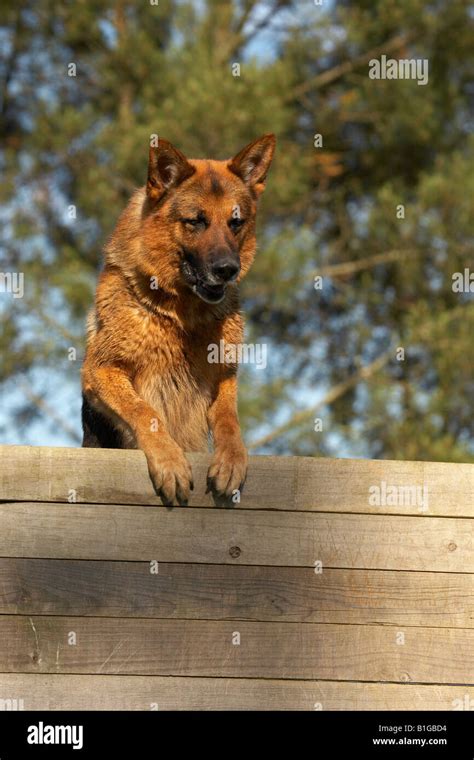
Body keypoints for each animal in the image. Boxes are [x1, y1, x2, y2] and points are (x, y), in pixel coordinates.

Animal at [81, 134, 274, 508]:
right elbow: (146, 412)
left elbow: (228, 419)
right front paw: (169, 460)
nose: (228, 270)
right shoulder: (99, 372)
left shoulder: (224, 376)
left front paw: (231, 459)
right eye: (195, 221)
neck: (182, 314)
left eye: (236, 222)